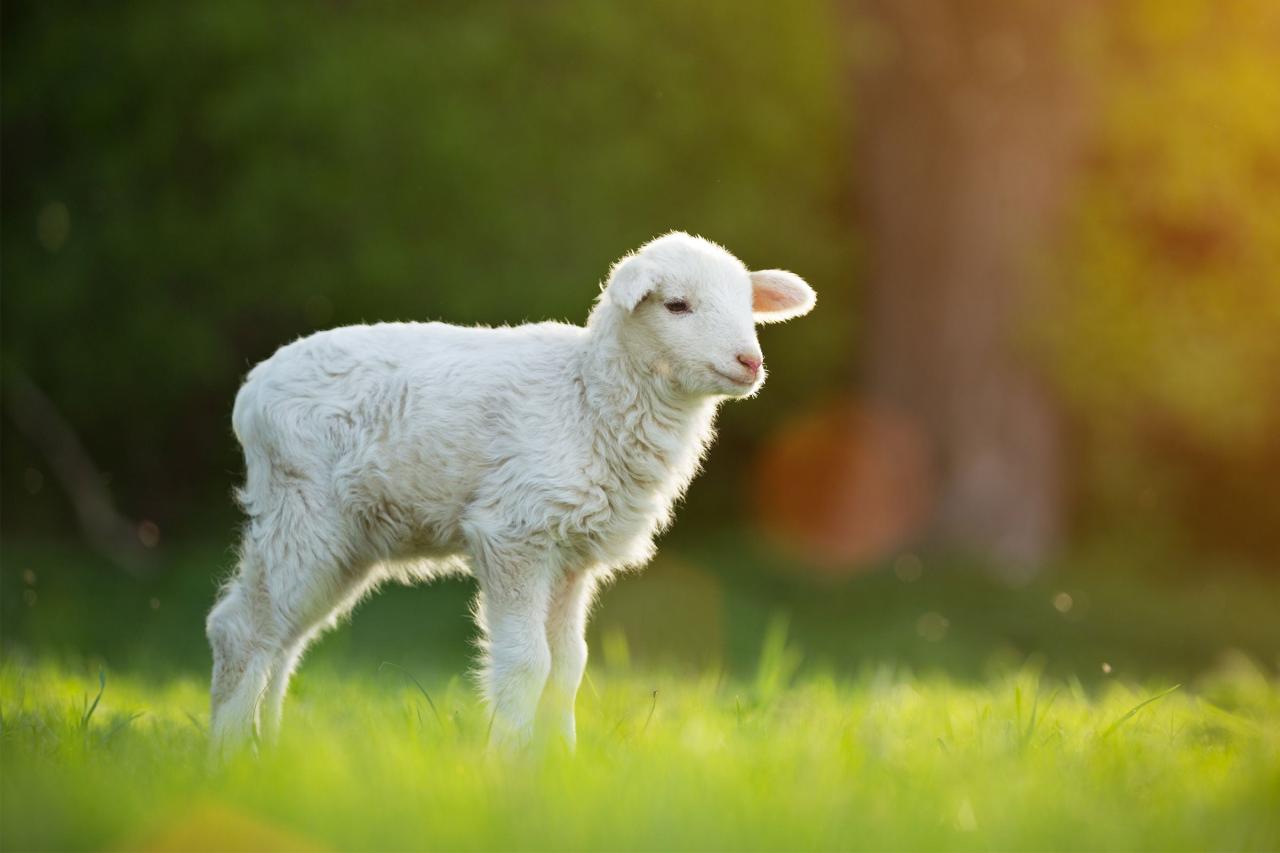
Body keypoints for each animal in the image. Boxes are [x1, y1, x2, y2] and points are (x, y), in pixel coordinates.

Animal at [206, 231, 816, 756]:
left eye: (748, 305)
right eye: (677, 306)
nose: (750, 361)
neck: (588, 395)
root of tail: (251, 391)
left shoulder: (572, 555)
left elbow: (568, 667)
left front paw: (561, 762)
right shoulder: (515, 532)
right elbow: (528, 663)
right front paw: (509, 763)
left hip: (346, 538)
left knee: (283, 639)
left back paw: (269, 748)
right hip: (302, 508)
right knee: (242, 631)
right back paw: (229, 757)